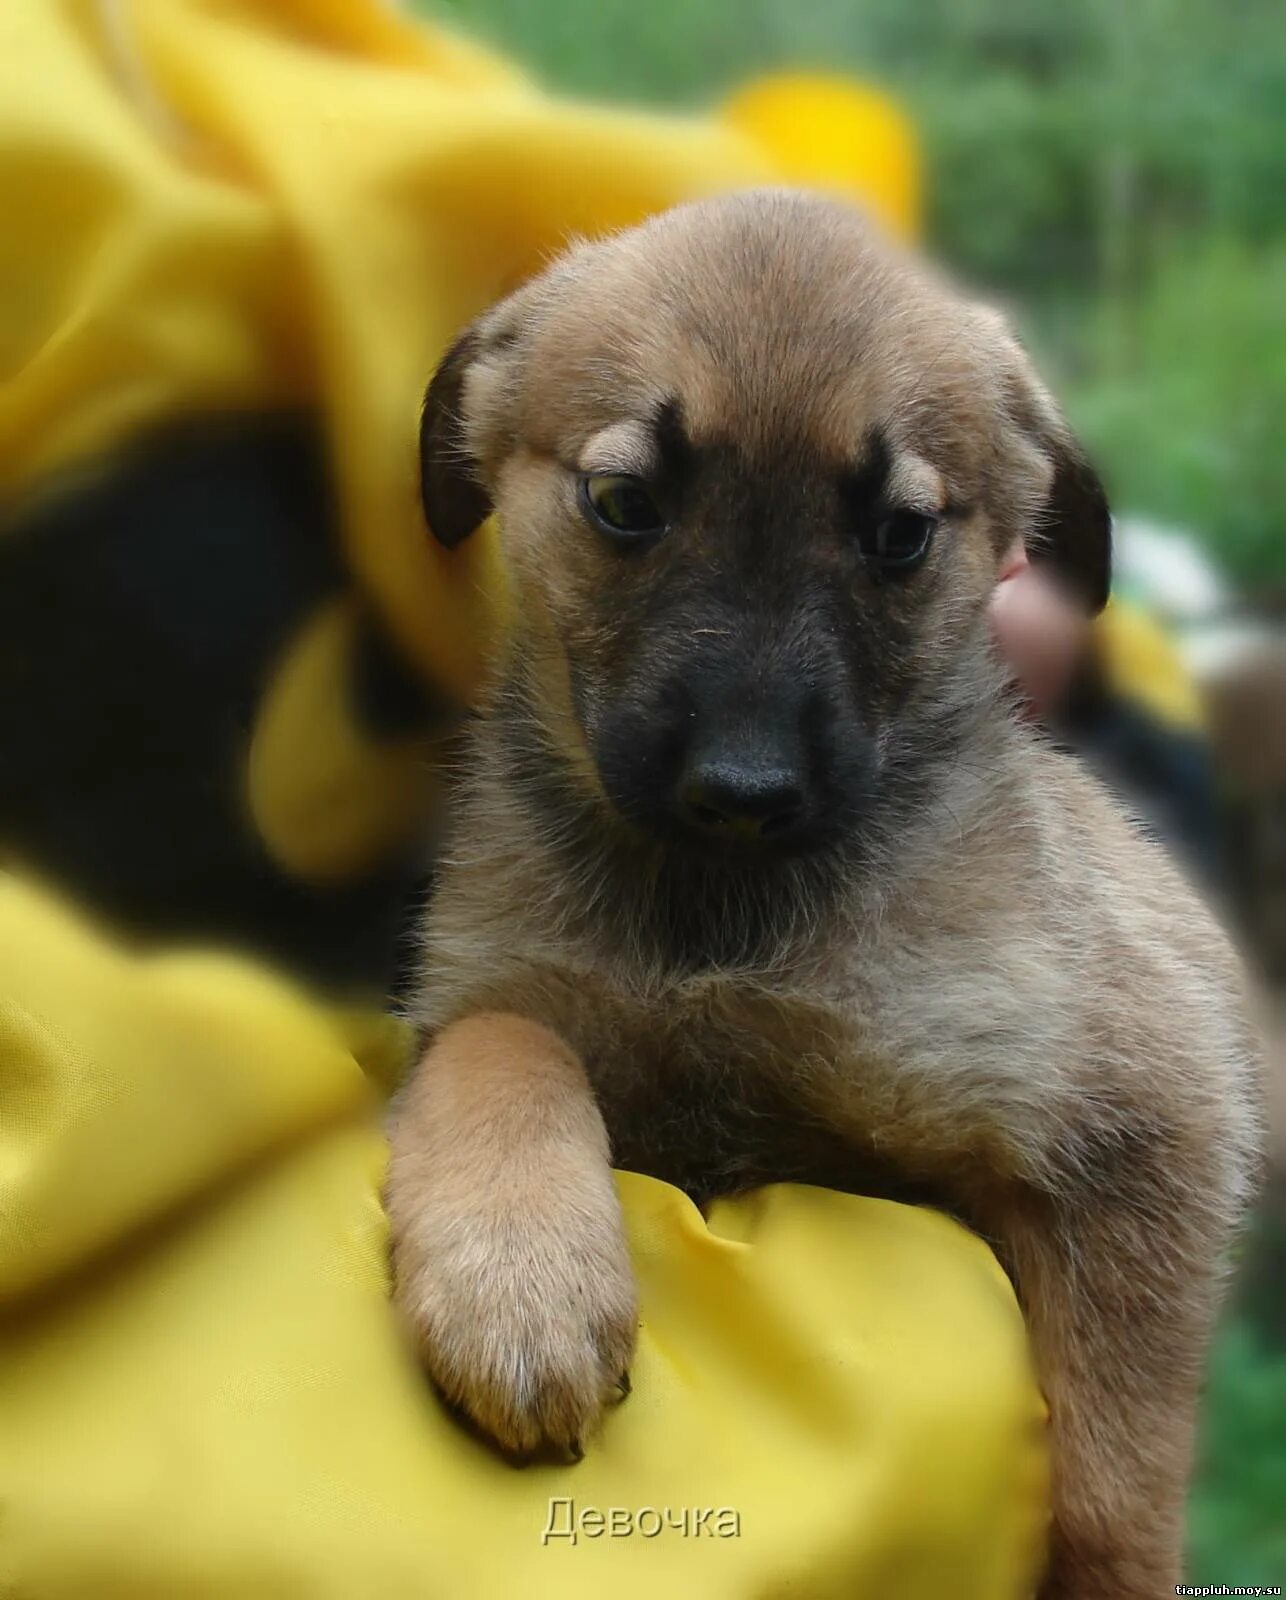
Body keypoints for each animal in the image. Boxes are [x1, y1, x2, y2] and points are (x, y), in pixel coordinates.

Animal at [383, 193, 1266, 1593]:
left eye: (899, 535)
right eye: (621, 500)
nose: (743, 790)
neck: (717, 923)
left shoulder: (1148, 1115)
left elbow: (1111, 1450)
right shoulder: (493, 995)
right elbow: (507, 1040)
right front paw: (518, 1282)